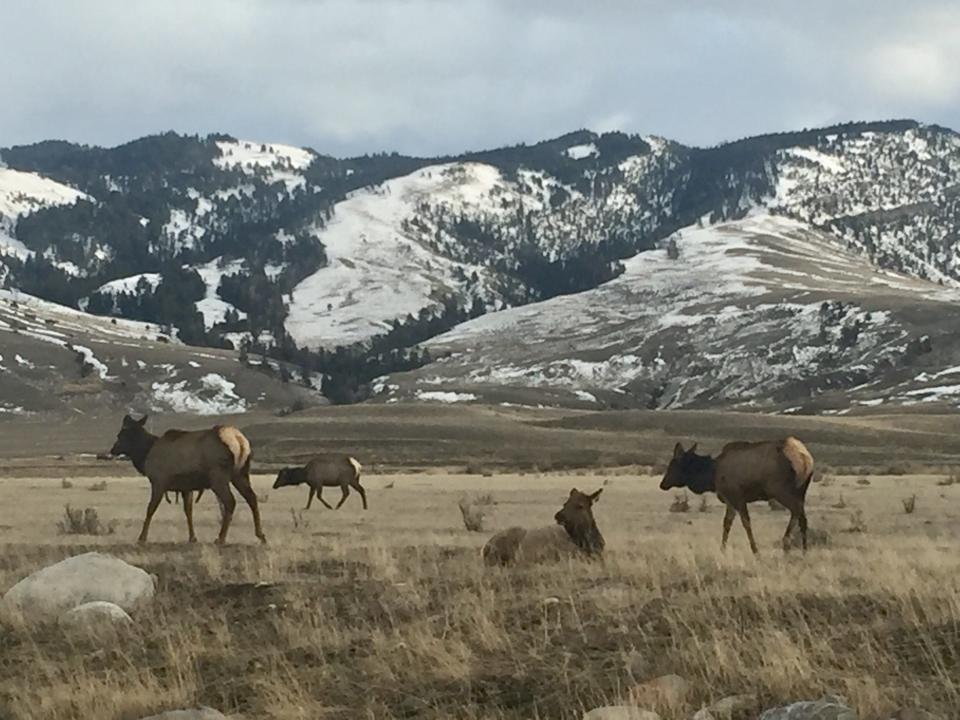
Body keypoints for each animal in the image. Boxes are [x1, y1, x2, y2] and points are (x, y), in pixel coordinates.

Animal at [110, 414, 264, 544]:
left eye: (121, 434)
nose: (112, 450)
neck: (145, 454)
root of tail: (239, 441)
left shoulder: (159, 481)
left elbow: (150, 509)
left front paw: (142, 537)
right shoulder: (186, 487)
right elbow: (188, 511)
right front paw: (192, 537)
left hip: (218, 477)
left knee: (230, 501)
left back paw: (220, 538)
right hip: (241, 474)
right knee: (252, 497)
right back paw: (260, 535)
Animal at [660, 436, 816, 556]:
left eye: (672, 465)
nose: (662, 484)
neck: (711, 475)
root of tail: (805, 459)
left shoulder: (737, 497)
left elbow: (746, 523)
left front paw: (755, 551)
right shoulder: (730, 500)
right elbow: (727, 523)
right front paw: (722, 549)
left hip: (780, 490)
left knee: (796, 512)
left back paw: (786, 543)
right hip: (801, 491)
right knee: (803, 518)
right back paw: (804, 550)